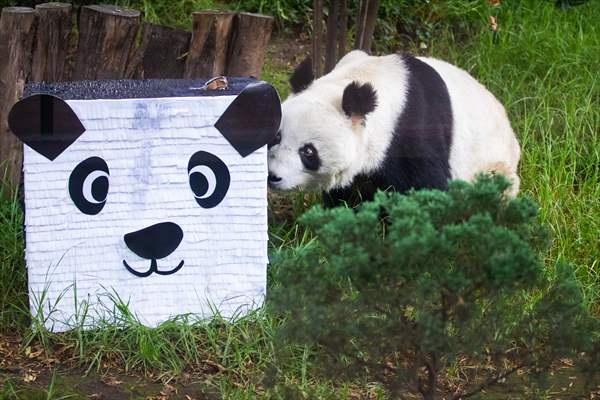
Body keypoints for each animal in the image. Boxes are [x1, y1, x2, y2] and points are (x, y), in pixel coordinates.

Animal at [268, 50, 520, 206]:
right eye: (276, 137)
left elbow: (427, 190)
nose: (273, 176)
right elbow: (346, 195)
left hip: (491, 167)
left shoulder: (414, 131)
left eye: (308, 151)